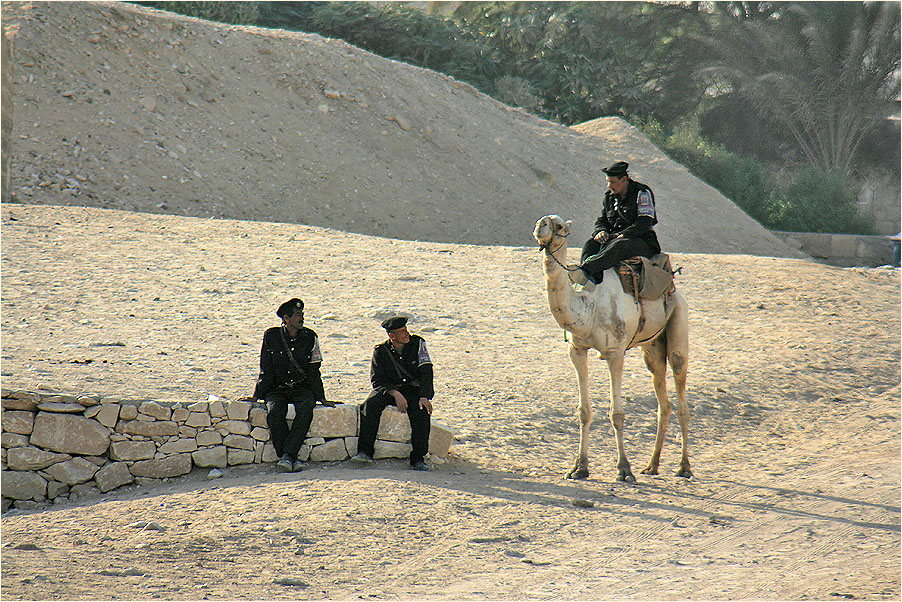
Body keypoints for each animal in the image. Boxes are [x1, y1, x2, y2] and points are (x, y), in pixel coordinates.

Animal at [536, 213, 692, 480]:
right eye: (543, 221)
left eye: (559, 226)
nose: (540, 225)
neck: (588, 306)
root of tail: (673, 287)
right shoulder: (577, 349)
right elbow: (584, 412)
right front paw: (579, 468)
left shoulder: (615, 352)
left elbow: (617, 414)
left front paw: (624, 469)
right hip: (652, 347)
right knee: (663, 398)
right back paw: (652, 465)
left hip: (678, 322)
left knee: (680, 381)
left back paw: (683, 467)